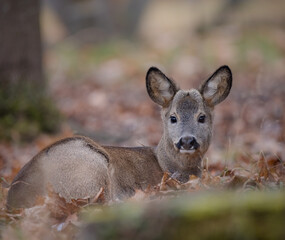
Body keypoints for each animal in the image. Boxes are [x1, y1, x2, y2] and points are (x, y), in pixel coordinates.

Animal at [7, 65, 231, 208]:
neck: (166, 165)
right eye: (173, 117)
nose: (186, 140)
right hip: (90, 166)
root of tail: (14, 199)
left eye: (201, 117)